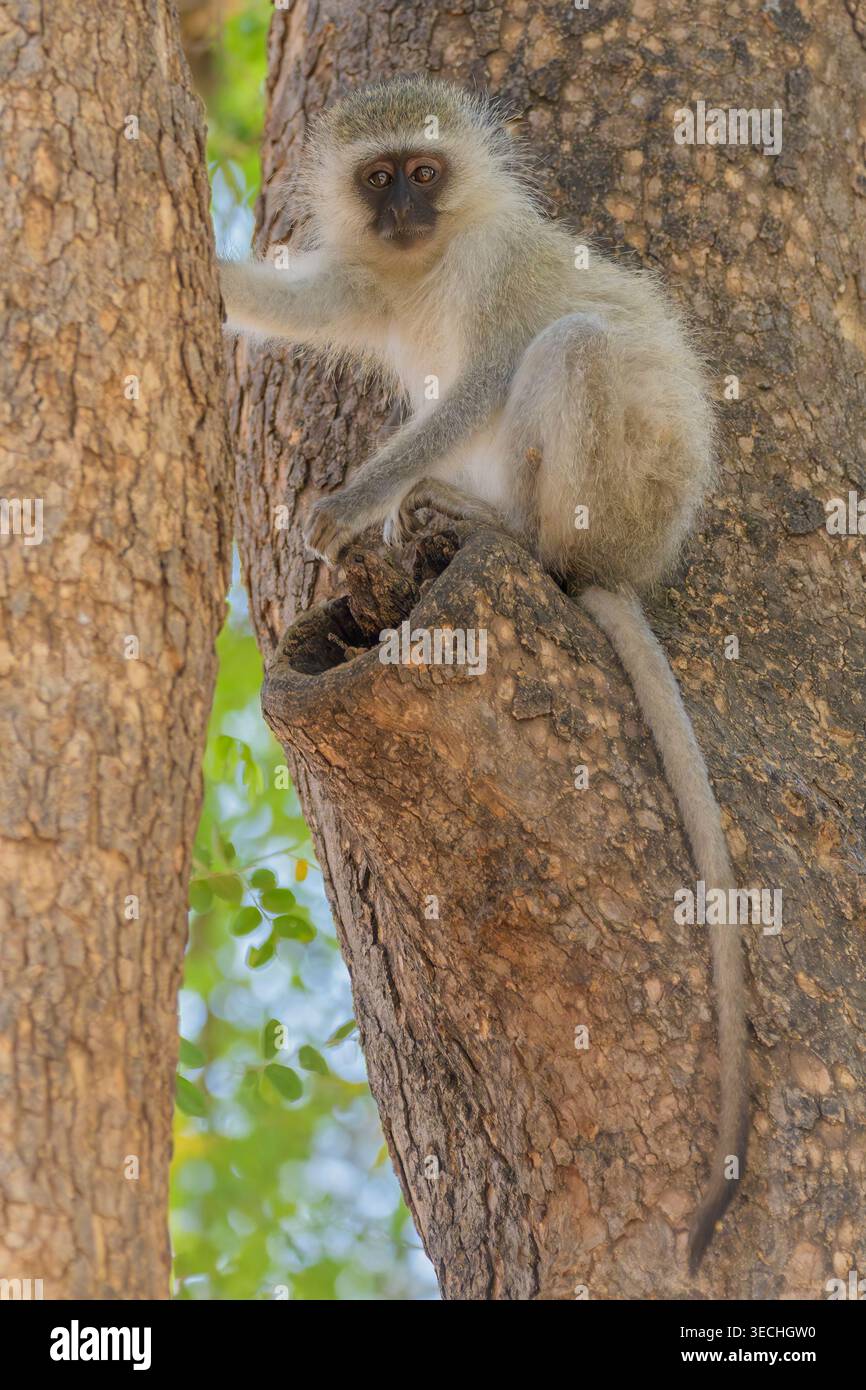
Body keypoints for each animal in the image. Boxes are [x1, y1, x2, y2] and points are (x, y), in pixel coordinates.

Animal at [219, 75, 748, 1275]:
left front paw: (350, 500)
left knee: (573, 348)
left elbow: (488, 373)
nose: (407, 211)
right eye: (379, 178)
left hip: (627, 491)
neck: (429, 258)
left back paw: (514, 537)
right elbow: (300, 311)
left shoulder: (495, 264)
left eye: (426, 171)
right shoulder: (367, 274)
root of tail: (630, 564)